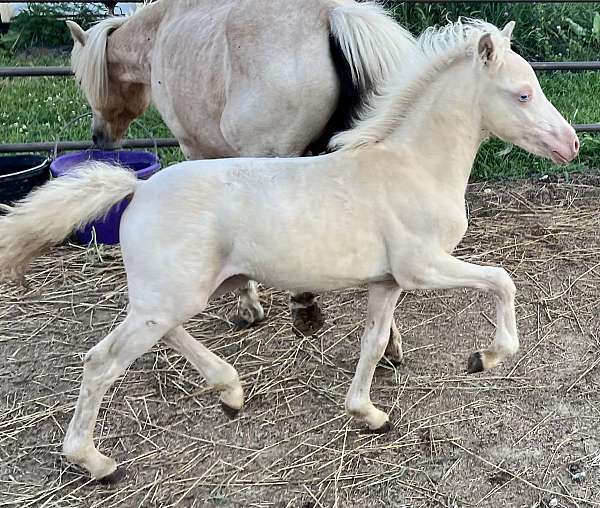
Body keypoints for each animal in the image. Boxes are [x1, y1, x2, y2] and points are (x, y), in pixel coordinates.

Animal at [65, 0, 420, 342]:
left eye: (81, 80)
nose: (99, 138)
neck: (161, 30)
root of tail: (332, 15)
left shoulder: (195, 148)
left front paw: (249, 306)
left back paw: (304, 308)